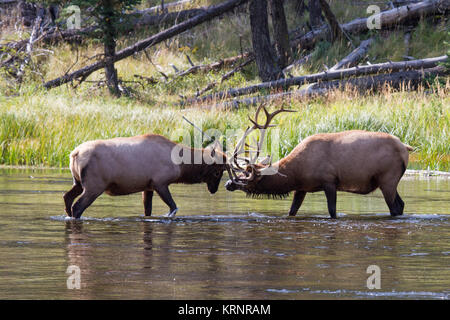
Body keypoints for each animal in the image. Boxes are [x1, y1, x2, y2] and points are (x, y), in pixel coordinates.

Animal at [62, 133, 229, 220]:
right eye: (217, 171)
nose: (214, 190)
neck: (181, 167)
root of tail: (74, 154)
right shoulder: (160, 182)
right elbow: (173, 207)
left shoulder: (148, 186)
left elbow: (147, 211)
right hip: (94, 185)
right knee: (77, 206)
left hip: (78, 183)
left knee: (67, 197)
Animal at [225, 105, 414, 218]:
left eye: (246, 176)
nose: (228, 183)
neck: (296, 173)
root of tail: (406, 147)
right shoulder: (301, 188)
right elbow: (292, 211)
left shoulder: (329, 181)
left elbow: (332, 211)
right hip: (388, 181)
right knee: (401, 205)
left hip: (388, 178)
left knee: (395, 207)